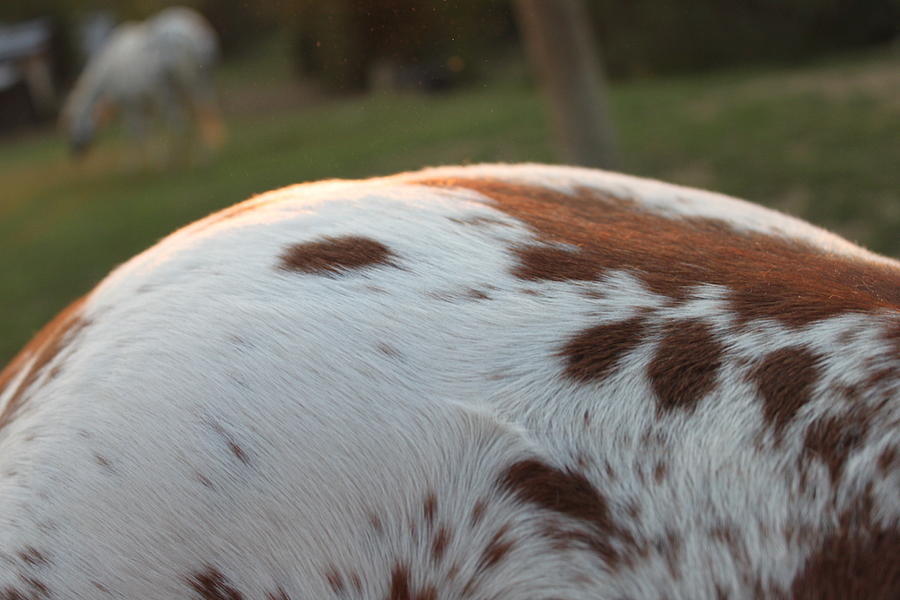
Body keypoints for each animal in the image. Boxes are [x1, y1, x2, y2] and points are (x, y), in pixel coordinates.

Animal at [60, 7, 224, 165]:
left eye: (71, 124)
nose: (73, 153)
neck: (108, 71)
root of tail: (191, 35)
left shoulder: (130, 104)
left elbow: (135, 132)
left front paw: (134, 164)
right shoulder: (143, 105)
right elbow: (147, 130)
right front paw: (152, 157)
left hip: (168, 91)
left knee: (180, 120)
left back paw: (178, 157)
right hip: (202, 81)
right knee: (205, 110)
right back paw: (202, 154)